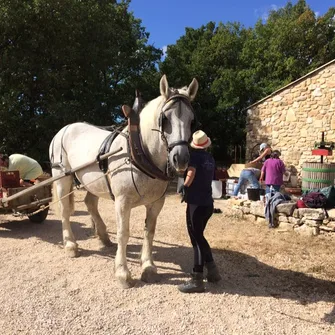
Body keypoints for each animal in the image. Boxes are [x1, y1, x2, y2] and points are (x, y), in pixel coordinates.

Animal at [48, 75, 198, 288]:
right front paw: (122, 272)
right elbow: (123, 233)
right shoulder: (122, 201)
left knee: (90, 203)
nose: (181, 158)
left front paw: (148, 266)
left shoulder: (156, 203)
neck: (140, 151)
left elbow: (149, 231)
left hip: (93, 182)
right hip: (62, 177)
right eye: (165, 119)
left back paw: (103, 237)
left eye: (192, 121)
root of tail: (65, 128)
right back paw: (70, 245)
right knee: (65, 211)